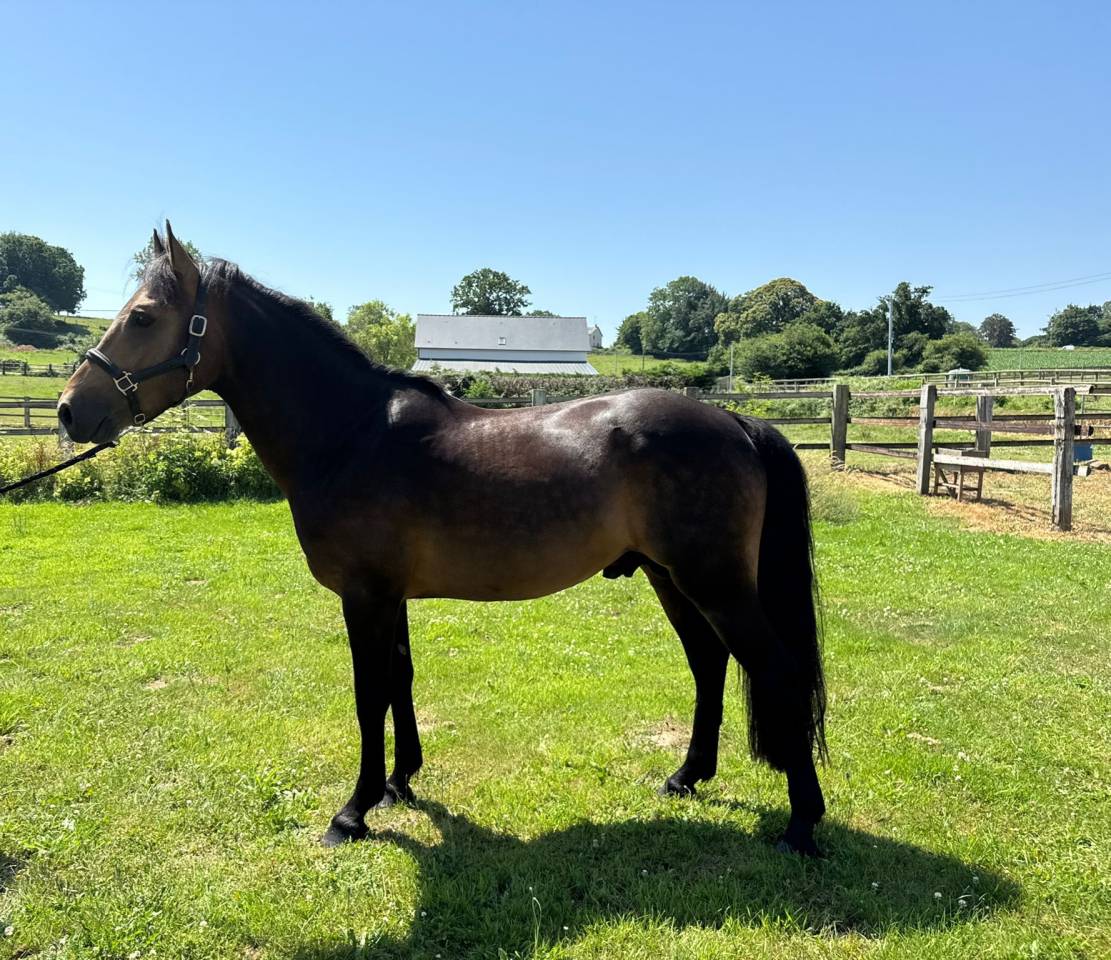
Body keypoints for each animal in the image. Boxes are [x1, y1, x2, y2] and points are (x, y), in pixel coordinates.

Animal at [57, 224, 828, 856]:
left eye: (143, 316)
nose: (69, 411)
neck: (351, 433)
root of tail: (734, 421)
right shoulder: (389, 596)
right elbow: (400, 679)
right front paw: (402, 782)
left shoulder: (363, 595)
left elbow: (369, 692)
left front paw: (354, 811)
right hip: (673, 579)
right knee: (709, 664)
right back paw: (687, 777)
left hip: (712, 581)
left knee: (776, 669)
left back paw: (801, 824)